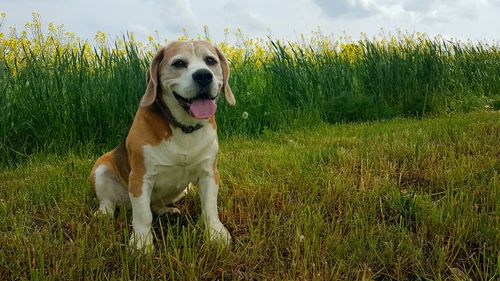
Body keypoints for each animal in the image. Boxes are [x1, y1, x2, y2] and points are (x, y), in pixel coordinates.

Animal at [88, 40, 236, 250]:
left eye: (210, 61)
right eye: (179, 63)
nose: (203, 75)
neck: (183, 128)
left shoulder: (209, 173)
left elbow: (209, 208)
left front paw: (216, 235)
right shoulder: (140, 178)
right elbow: (143, 215)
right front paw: (142, 243)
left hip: (183, 190)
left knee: (155, 207)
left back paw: (167, 210)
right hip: (101, 169)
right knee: (109, 202)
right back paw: (103, 214)